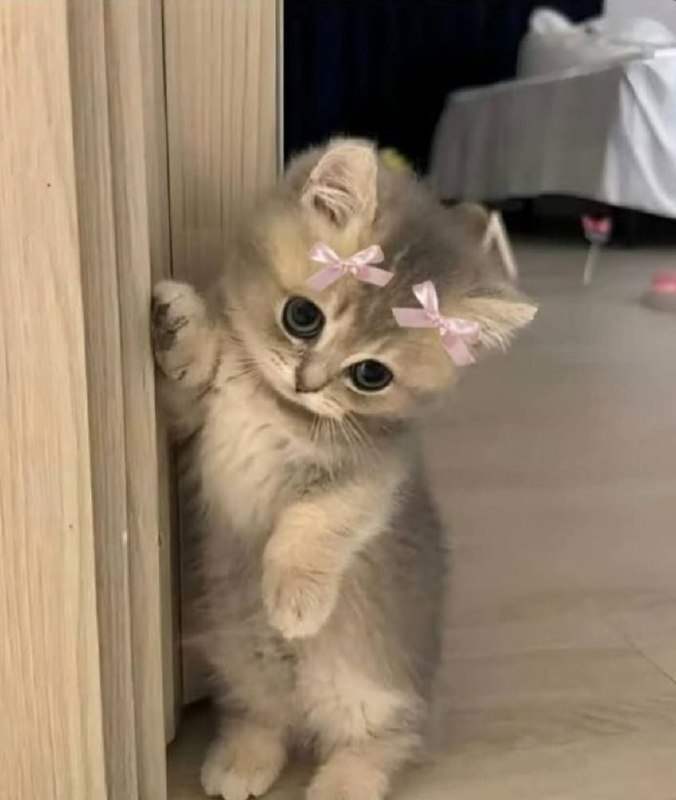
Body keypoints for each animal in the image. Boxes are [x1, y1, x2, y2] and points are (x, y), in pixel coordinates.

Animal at [151, 138, 536, 800]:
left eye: (370, 375)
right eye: (302, 316)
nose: (306, 383)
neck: (274, 406)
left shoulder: (375, 477)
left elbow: (316, 522)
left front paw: (296, 601)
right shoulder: (194, 419)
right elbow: (189, 373)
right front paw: (180, 321)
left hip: (370, 690)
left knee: (385, 739)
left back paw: (344, 782)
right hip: (241, 659)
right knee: (262, 717)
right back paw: (242, 760)